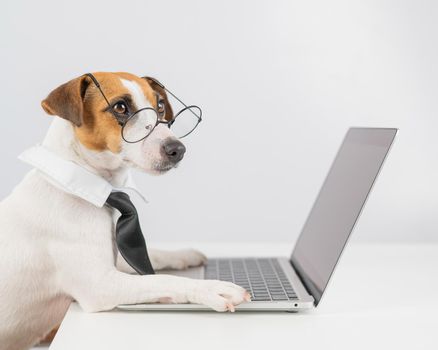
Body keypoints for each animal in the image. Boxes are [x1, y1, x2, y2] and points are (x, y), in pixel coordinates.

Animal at [0, 72, 250, 350]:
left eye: (160, 105)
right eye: (120, 107)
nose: (178, 149)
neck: (74, 181)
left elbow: (154, 257)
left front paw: (182, 254)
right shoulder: (101, 284)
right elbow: (162, 280)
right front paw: (211, 288)